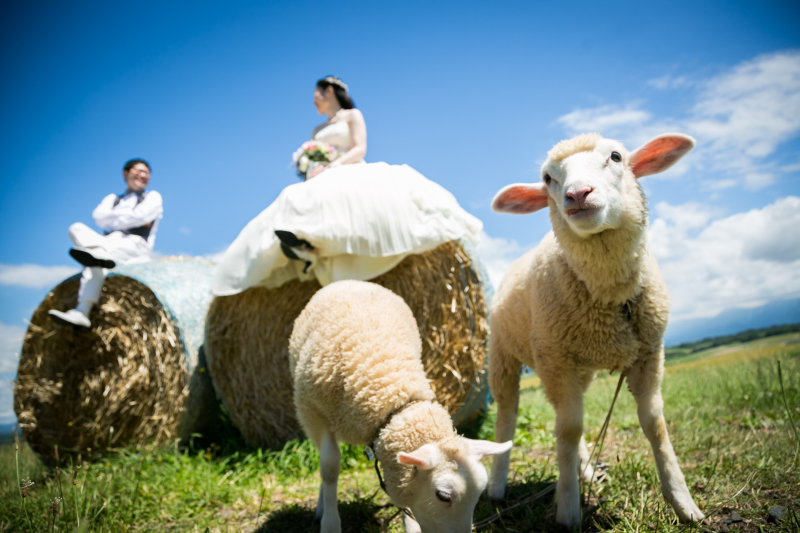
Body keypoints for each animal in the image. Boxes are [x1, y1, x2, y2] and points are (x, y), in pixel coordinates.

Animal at [488, 133, 708, 528]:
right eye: (547, 178)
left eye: (616, 156)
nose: (577, 194)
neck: (611, 296)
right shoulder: (557, 361)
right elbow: (567, 430)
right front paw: (569, 510)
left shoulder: (649, 353)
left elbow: (654, 424)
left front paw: (684, 504)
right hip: (505, 357)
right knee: (508, 418)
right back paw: (497, 485)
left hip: (578, 368)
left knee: (566, 416)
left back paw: (585, 470)